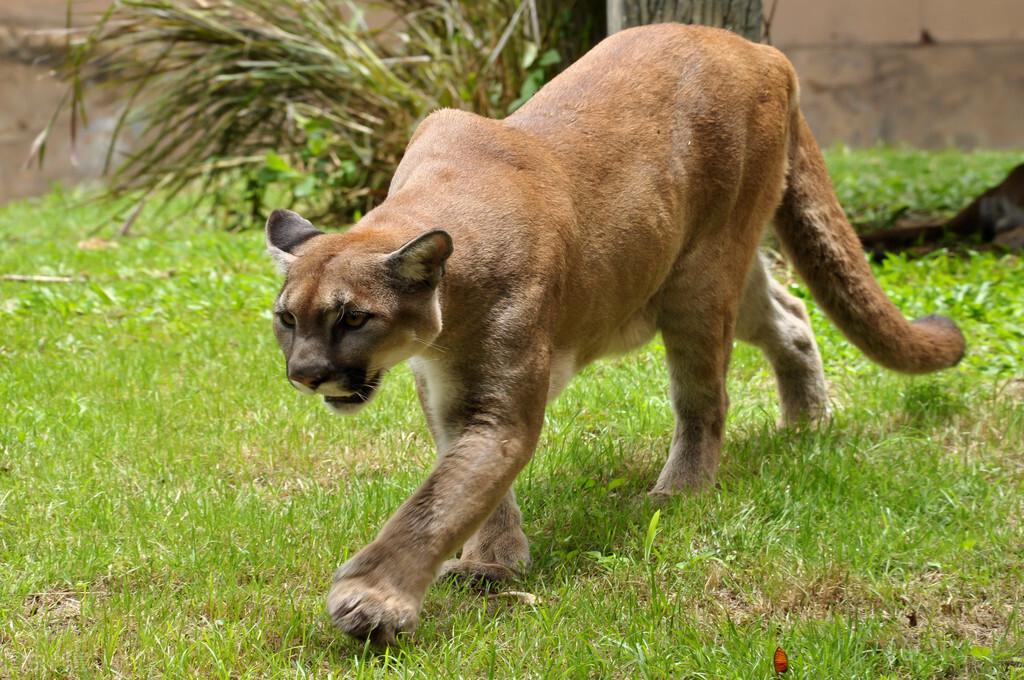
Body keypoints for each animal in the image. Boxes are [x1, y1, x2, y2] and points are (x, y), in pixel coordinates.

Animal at [262, 23, 958, 647]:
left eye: (354, 317)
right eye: (288, 319)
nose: (304, 375)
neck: (443, 319)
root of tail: (760, 50)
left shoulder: (499, 408)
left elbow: (441, 499)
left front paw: (372, 601)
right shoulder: (449, 397)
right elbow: (470, 486)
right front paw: (495, 561)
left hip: (701, 280)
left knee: (707, 399)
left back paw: (677, 495)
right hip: (707, 275)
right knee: (791, 318)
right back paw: (807, 423)